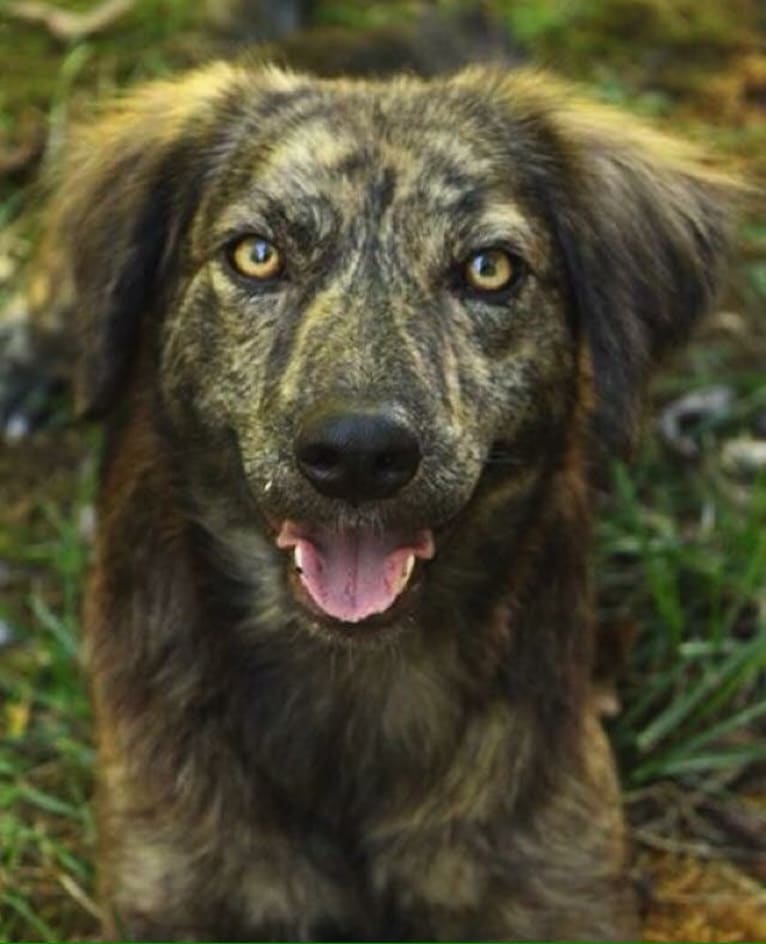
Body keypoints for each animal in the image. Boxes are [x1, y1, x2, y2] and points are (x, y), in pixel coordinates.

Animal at [21, 14, 736, 936]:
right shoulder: (169, 879)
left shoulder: (561, 878)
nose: (358, 456)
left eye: (489, 268)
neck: (351, 690)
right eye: (257, 255)